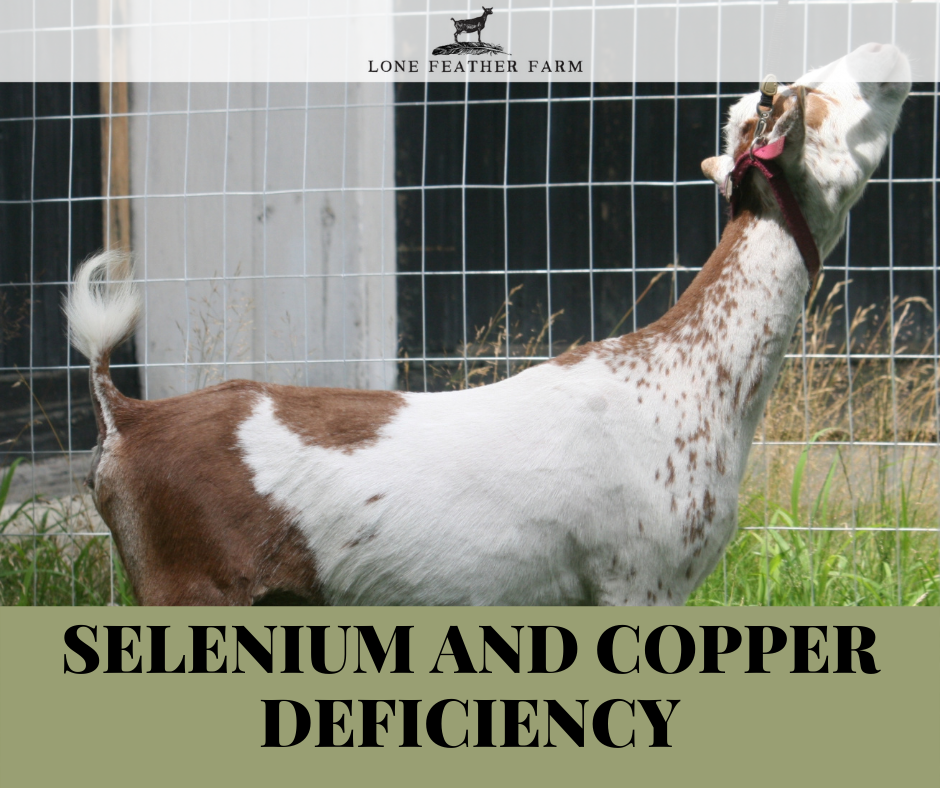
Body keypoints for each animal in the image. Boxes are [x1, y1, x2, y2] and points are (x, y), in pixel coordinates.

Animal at [66, 43, 910, 606]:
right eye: (818, 100)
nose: (887, 48)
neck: (690, 372)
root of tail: (125, 417)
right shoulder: (641, 579)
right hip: (189, 590)